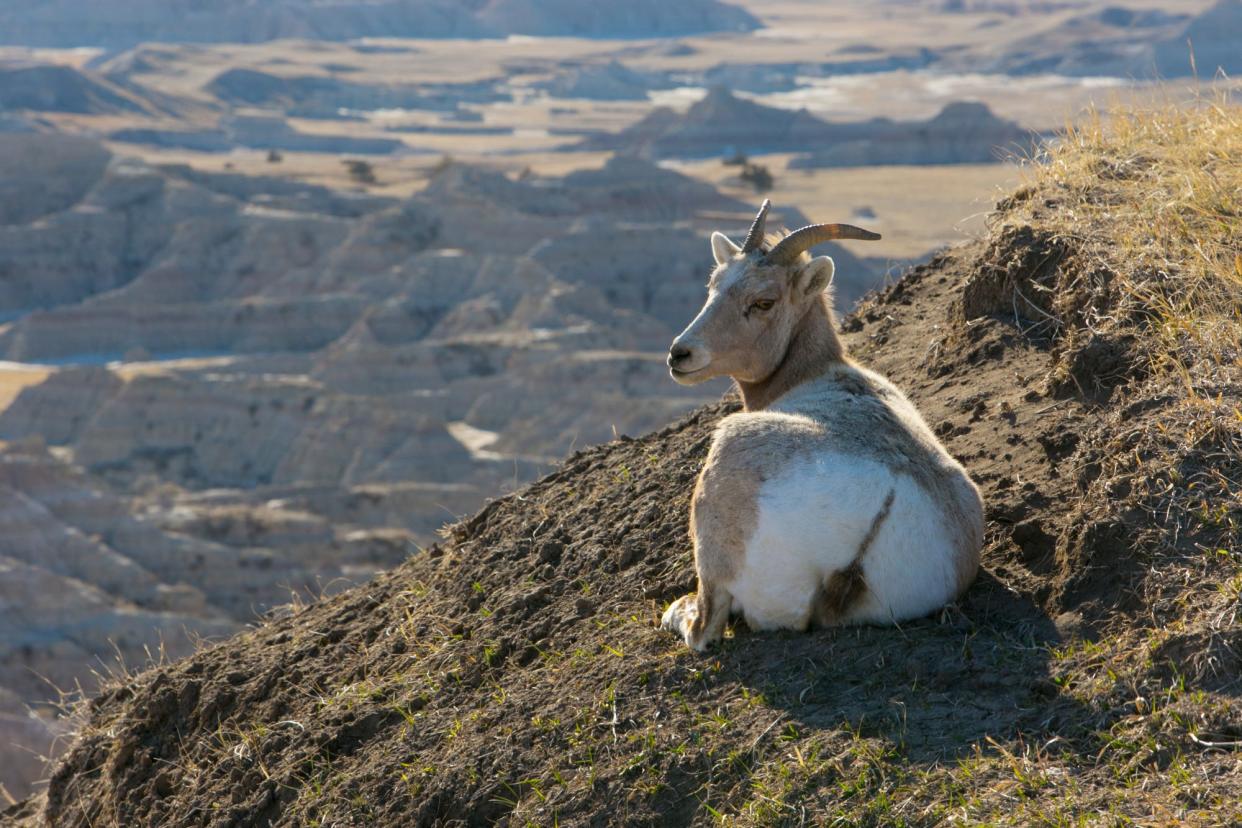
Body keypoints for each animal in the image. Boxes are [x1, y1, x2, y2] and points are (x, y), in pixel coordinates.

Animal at [660, 202, 978, 655]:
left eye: (764, 302)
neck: (812, 374)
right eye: (714, 284)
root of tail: (886, 506)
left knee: (705, 626)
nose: (680, 355)